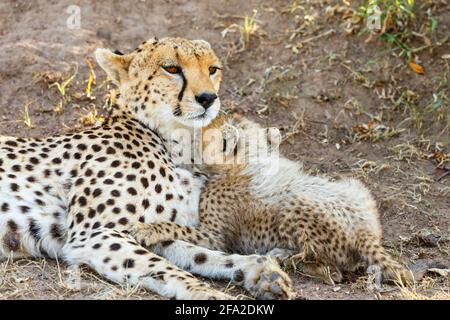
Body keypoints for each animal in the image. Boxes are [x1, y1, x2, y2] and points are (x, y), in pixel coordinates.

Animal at [0, 37, 292, 300]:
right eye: (171, 68)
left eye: (212, 69)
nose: (208, 98)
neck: (174, 143)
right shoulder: (94, 234)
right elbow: (168, 267)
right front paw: (211, 294)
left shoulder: (143, 229)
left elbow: (196, 253)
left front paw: (258, 270)